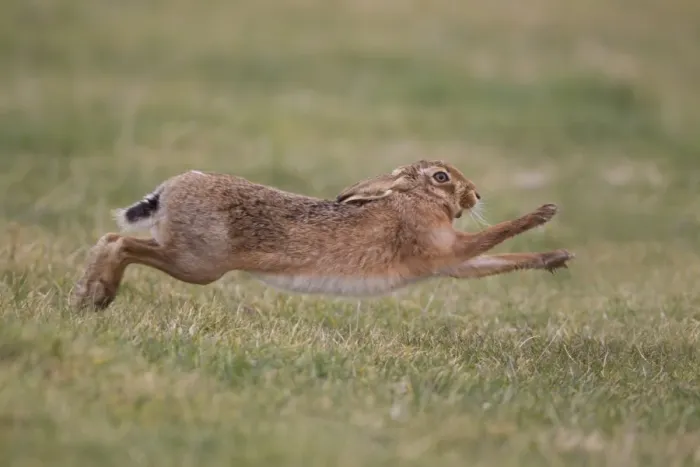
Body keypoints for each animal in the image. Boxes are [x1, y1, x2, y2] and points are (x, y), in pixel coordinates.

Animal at [71, 160, 574, 310]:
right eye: (441, 177)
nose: (476, 195)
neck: (413, 199)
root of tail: (168, 191)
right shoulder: (442, 247)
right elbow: (494, 239)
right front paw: (544, 212)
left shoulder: (452, 261)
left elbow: (494, 262)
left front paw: (557, 257)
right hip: (197, 262)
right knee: (120, 243)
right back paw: (96, 294)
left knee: (113, 241)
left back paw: (88, 296)